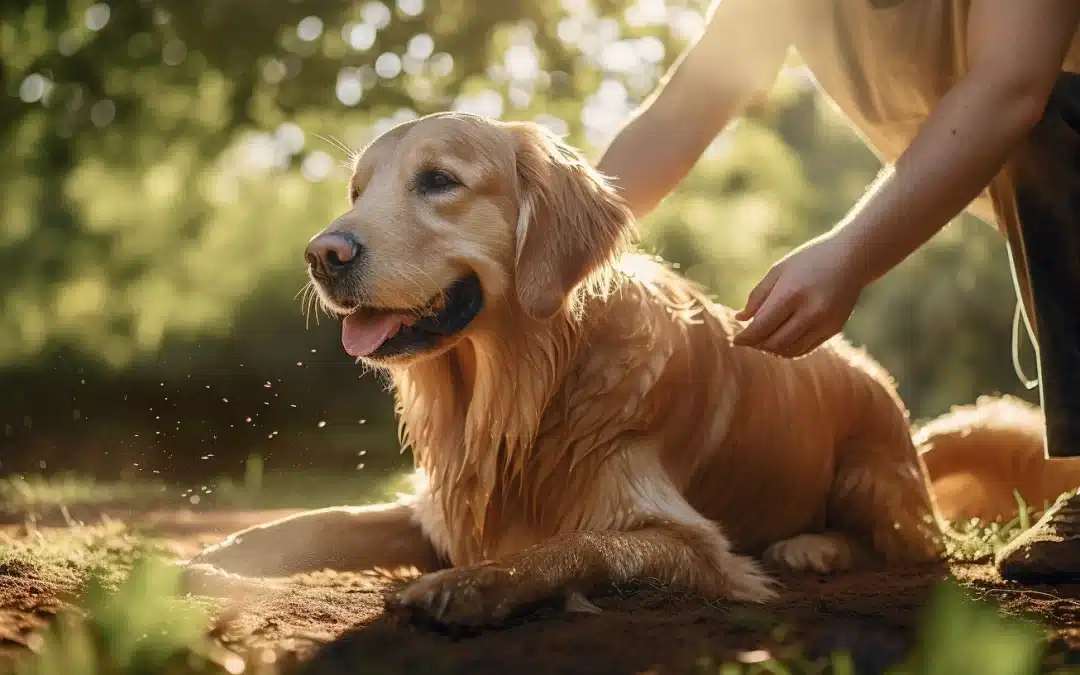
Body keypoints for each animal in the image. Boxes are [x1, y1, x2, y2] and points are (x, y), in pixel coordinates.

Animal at [187, 113, 954, 630]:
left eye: (438, 181)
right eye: (356, 191)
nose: (322, 255)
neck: (525, 388)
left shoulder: (691, 541)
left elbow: (579, 544)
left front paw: (474, 583)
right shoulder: (438, 505)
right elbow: (314, 522)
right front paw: (213, 556)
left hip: (872, 476)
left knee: (900, 542)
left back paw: (811, 547)